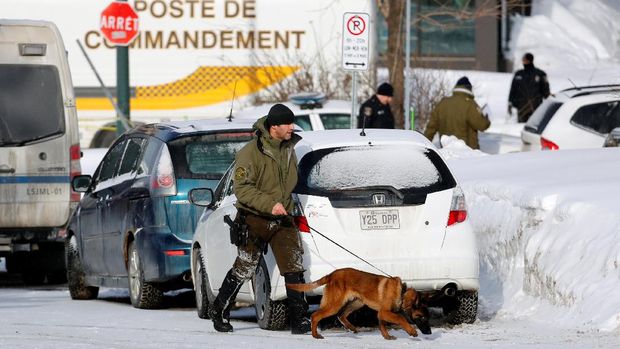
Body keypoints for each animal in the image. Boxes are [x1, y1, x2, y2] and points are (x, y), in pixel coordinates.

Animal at [286, 268, 428, 338]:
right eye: (422, 317)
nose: (429, 333)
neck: (402, 292)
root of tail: (331, 275)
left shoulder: (382, 314)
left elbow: (382, 325)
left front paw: (387, 337)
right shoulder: (384, 312)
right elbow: (400, 318)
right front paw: (411, 331)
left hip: (357, 302)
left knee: (341, 315)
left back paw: (352, 328)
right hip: (335, 304)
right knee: (315, 316)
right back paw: (315, 335)